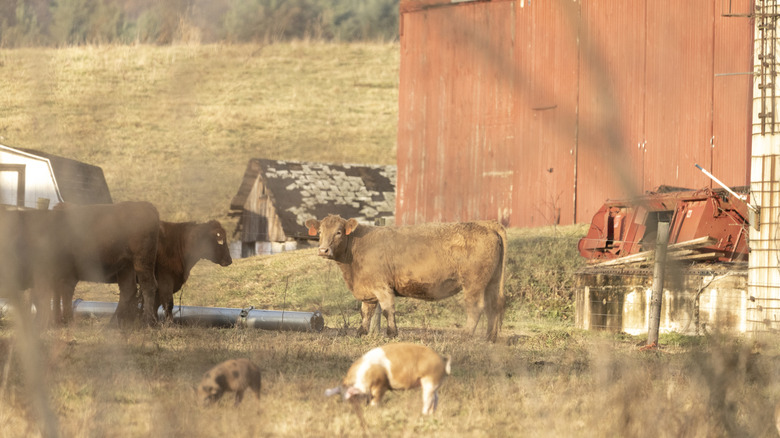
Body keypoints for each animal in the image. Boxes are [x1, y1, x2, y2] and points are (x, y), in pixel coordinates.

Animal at [305, 215, 507, 342]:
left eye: (338, 232)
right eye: (320, 232)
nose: (323, 250)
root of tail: (487, 224)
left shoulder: (382, 286)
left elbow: (388, 310)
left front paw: (392, 333)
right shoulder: (368, 290)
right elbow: (366, 312)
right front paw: (361, 332)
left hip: (474, 283)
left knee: (476, 308)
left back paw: (466, 335)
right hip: (493, 282)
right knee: (493, 306)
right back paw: (490, 338)